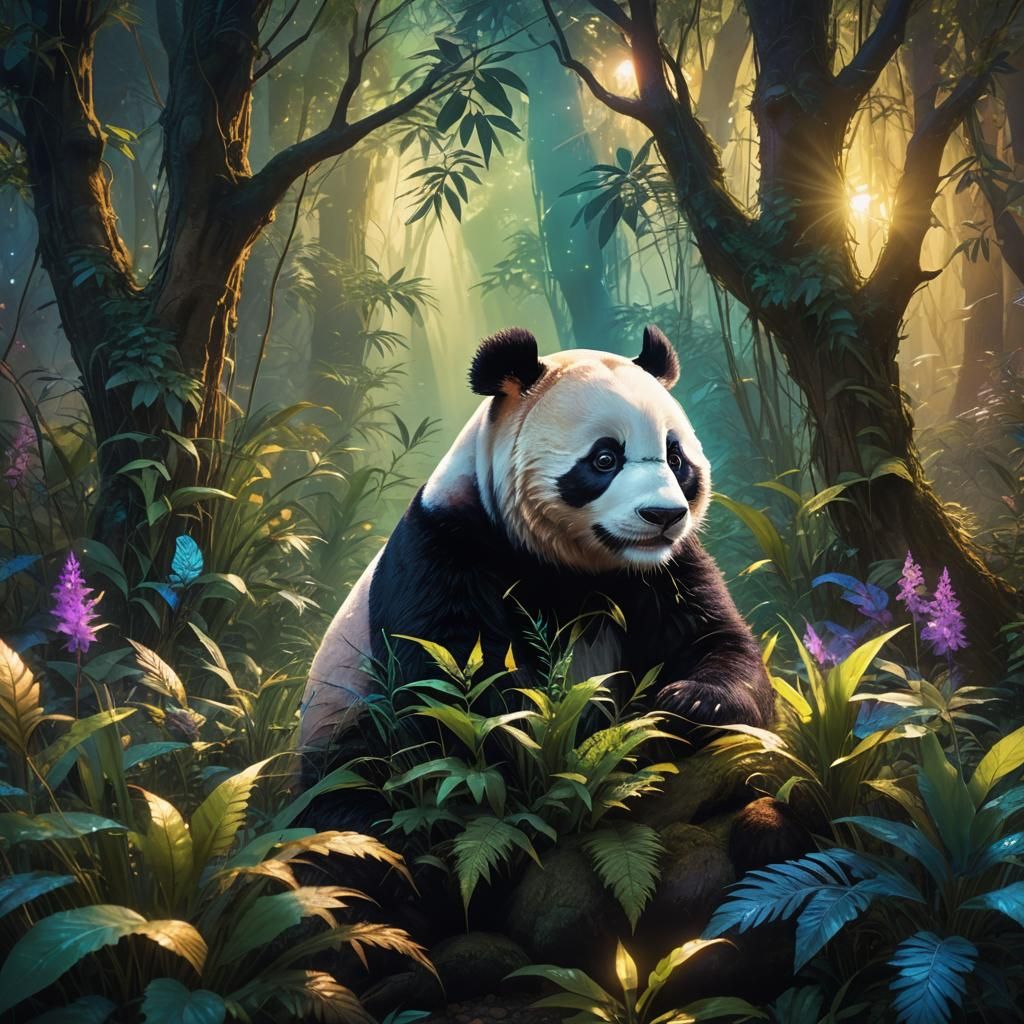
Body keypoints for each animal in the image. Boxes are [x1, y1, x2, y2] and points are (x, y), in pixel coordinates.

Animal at [300, 325, 773, 762]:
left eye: (676, 459)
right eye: (605, 459)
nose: (663, 516)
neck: (571, 565)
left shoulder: (665, 569)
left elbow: (712, 636)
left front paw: (691, 702)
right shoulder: (444, 546)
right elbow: (454, 678)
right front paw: (548, 727)